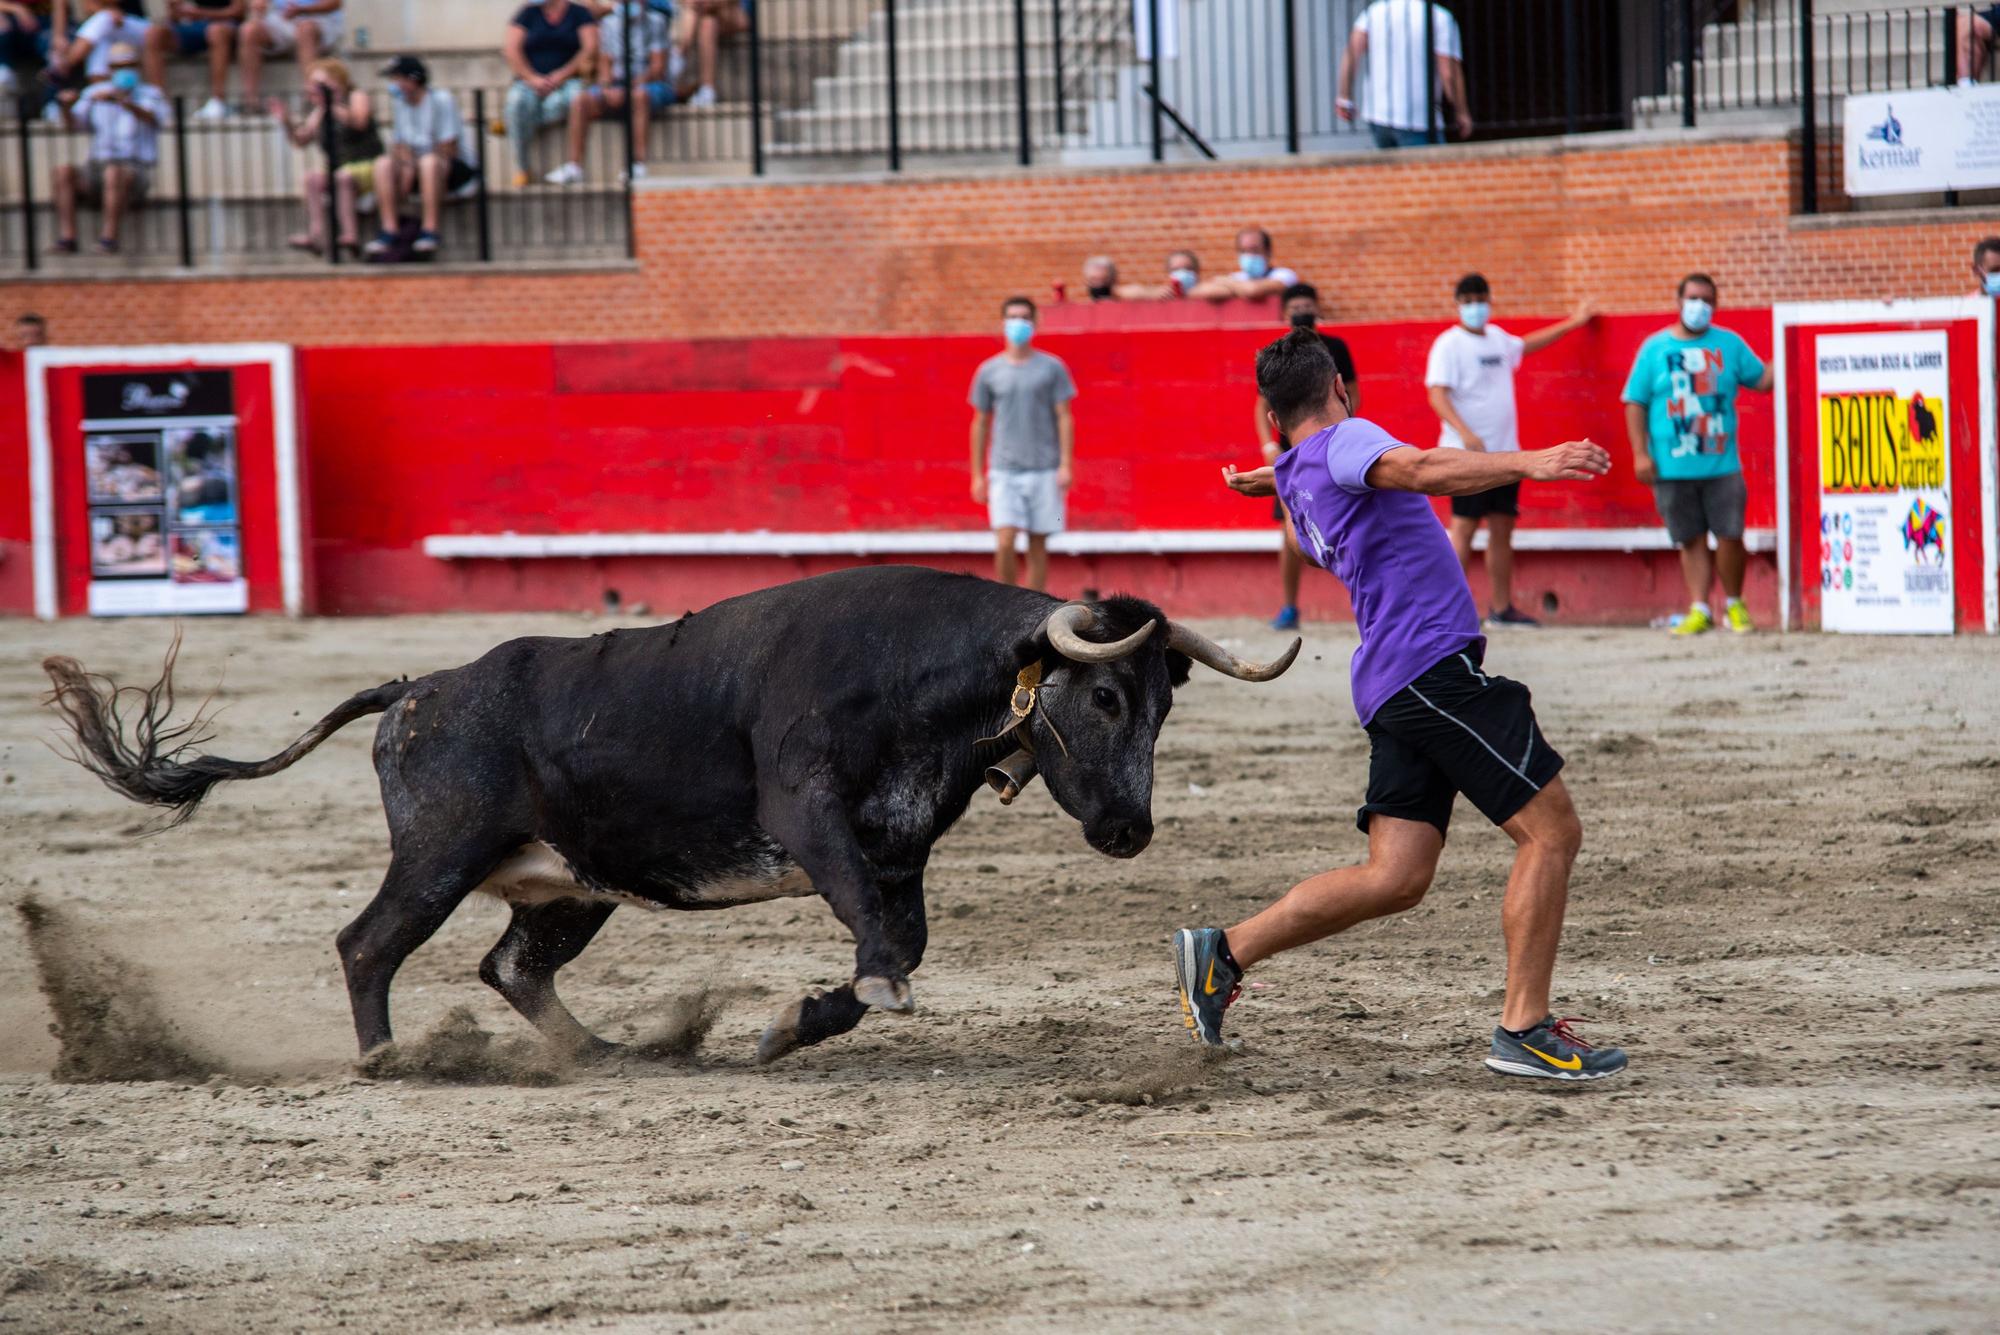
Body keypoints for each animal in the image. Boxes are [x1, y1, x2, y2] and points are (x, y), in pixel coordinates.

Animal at [47, 567, 1304, 1063]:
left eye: (1163, 706)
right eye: (1102, 698)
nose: (1129, 831)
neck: (926, 684)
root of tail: (418, 687)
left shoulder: (898, 852)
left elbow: (896, 940)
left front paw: (794, 1023)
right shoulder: (809, 814)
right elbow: (884, 946)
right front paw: (822, 1010)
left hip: (567, 883)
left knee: (510, 966)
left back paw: (602, 1054)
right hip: (439, 851)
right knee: (368, 944)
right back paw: (389, 1062)